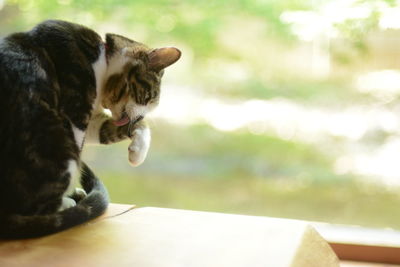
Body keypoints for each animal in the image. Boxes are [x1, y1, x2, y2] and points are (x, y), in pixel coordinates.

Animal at [0, 19, 180, 240]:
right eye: (147, 97)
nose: (139, 116)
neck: (102, 59)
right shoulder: (76, 112)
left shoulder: (93, 121)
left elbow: (124, 129)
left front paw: (137, 153)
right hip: (57, 141)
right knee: (33, 207)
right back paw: (67, 202)